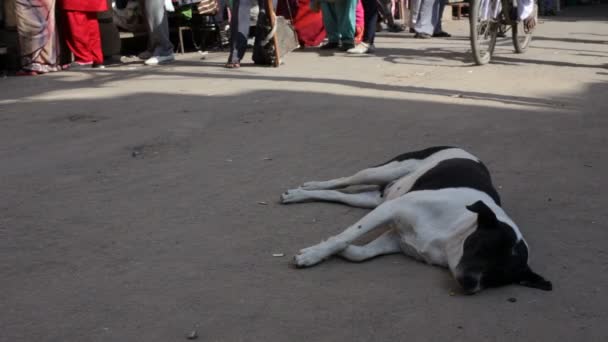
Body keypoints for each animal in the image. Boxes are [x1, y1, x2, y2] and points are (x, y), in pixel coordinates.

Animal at [280, 146, 552, 294]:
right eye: (481, 248)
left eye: (498, 277)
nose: (469, 284)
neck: (451, 236)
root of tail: (463, 149)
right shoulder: (391, 210)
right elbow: (344, 236)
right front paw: (314, 254)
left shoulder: (395, 237)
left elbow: (359, 253)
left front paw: (337, 251)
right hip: (384, 172)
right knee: (343, 180)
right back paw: (306, 187)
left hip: (373, 200)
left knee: (339, 195)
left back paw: (300, 194)